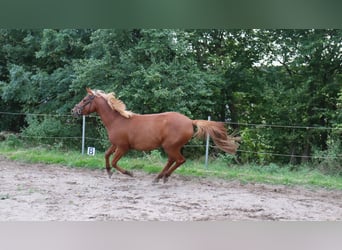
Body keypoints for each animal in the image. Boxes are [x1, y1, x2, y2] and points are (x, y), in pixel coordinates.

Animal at [71, 87, 239, 182]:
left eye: (85, 99)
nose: (74, 110)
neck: (117, 120)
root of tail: (190, 121)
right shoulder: (115, 144)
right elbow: (106, 155)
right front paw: (108, 172)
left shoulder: (123, 147)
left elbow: (113, 161)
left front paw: (129, 173)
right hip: (172, 147)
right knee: (173, 160)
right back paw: (160, 176)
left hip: (170, 146)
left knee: (179, 160)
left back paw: (162, 177)